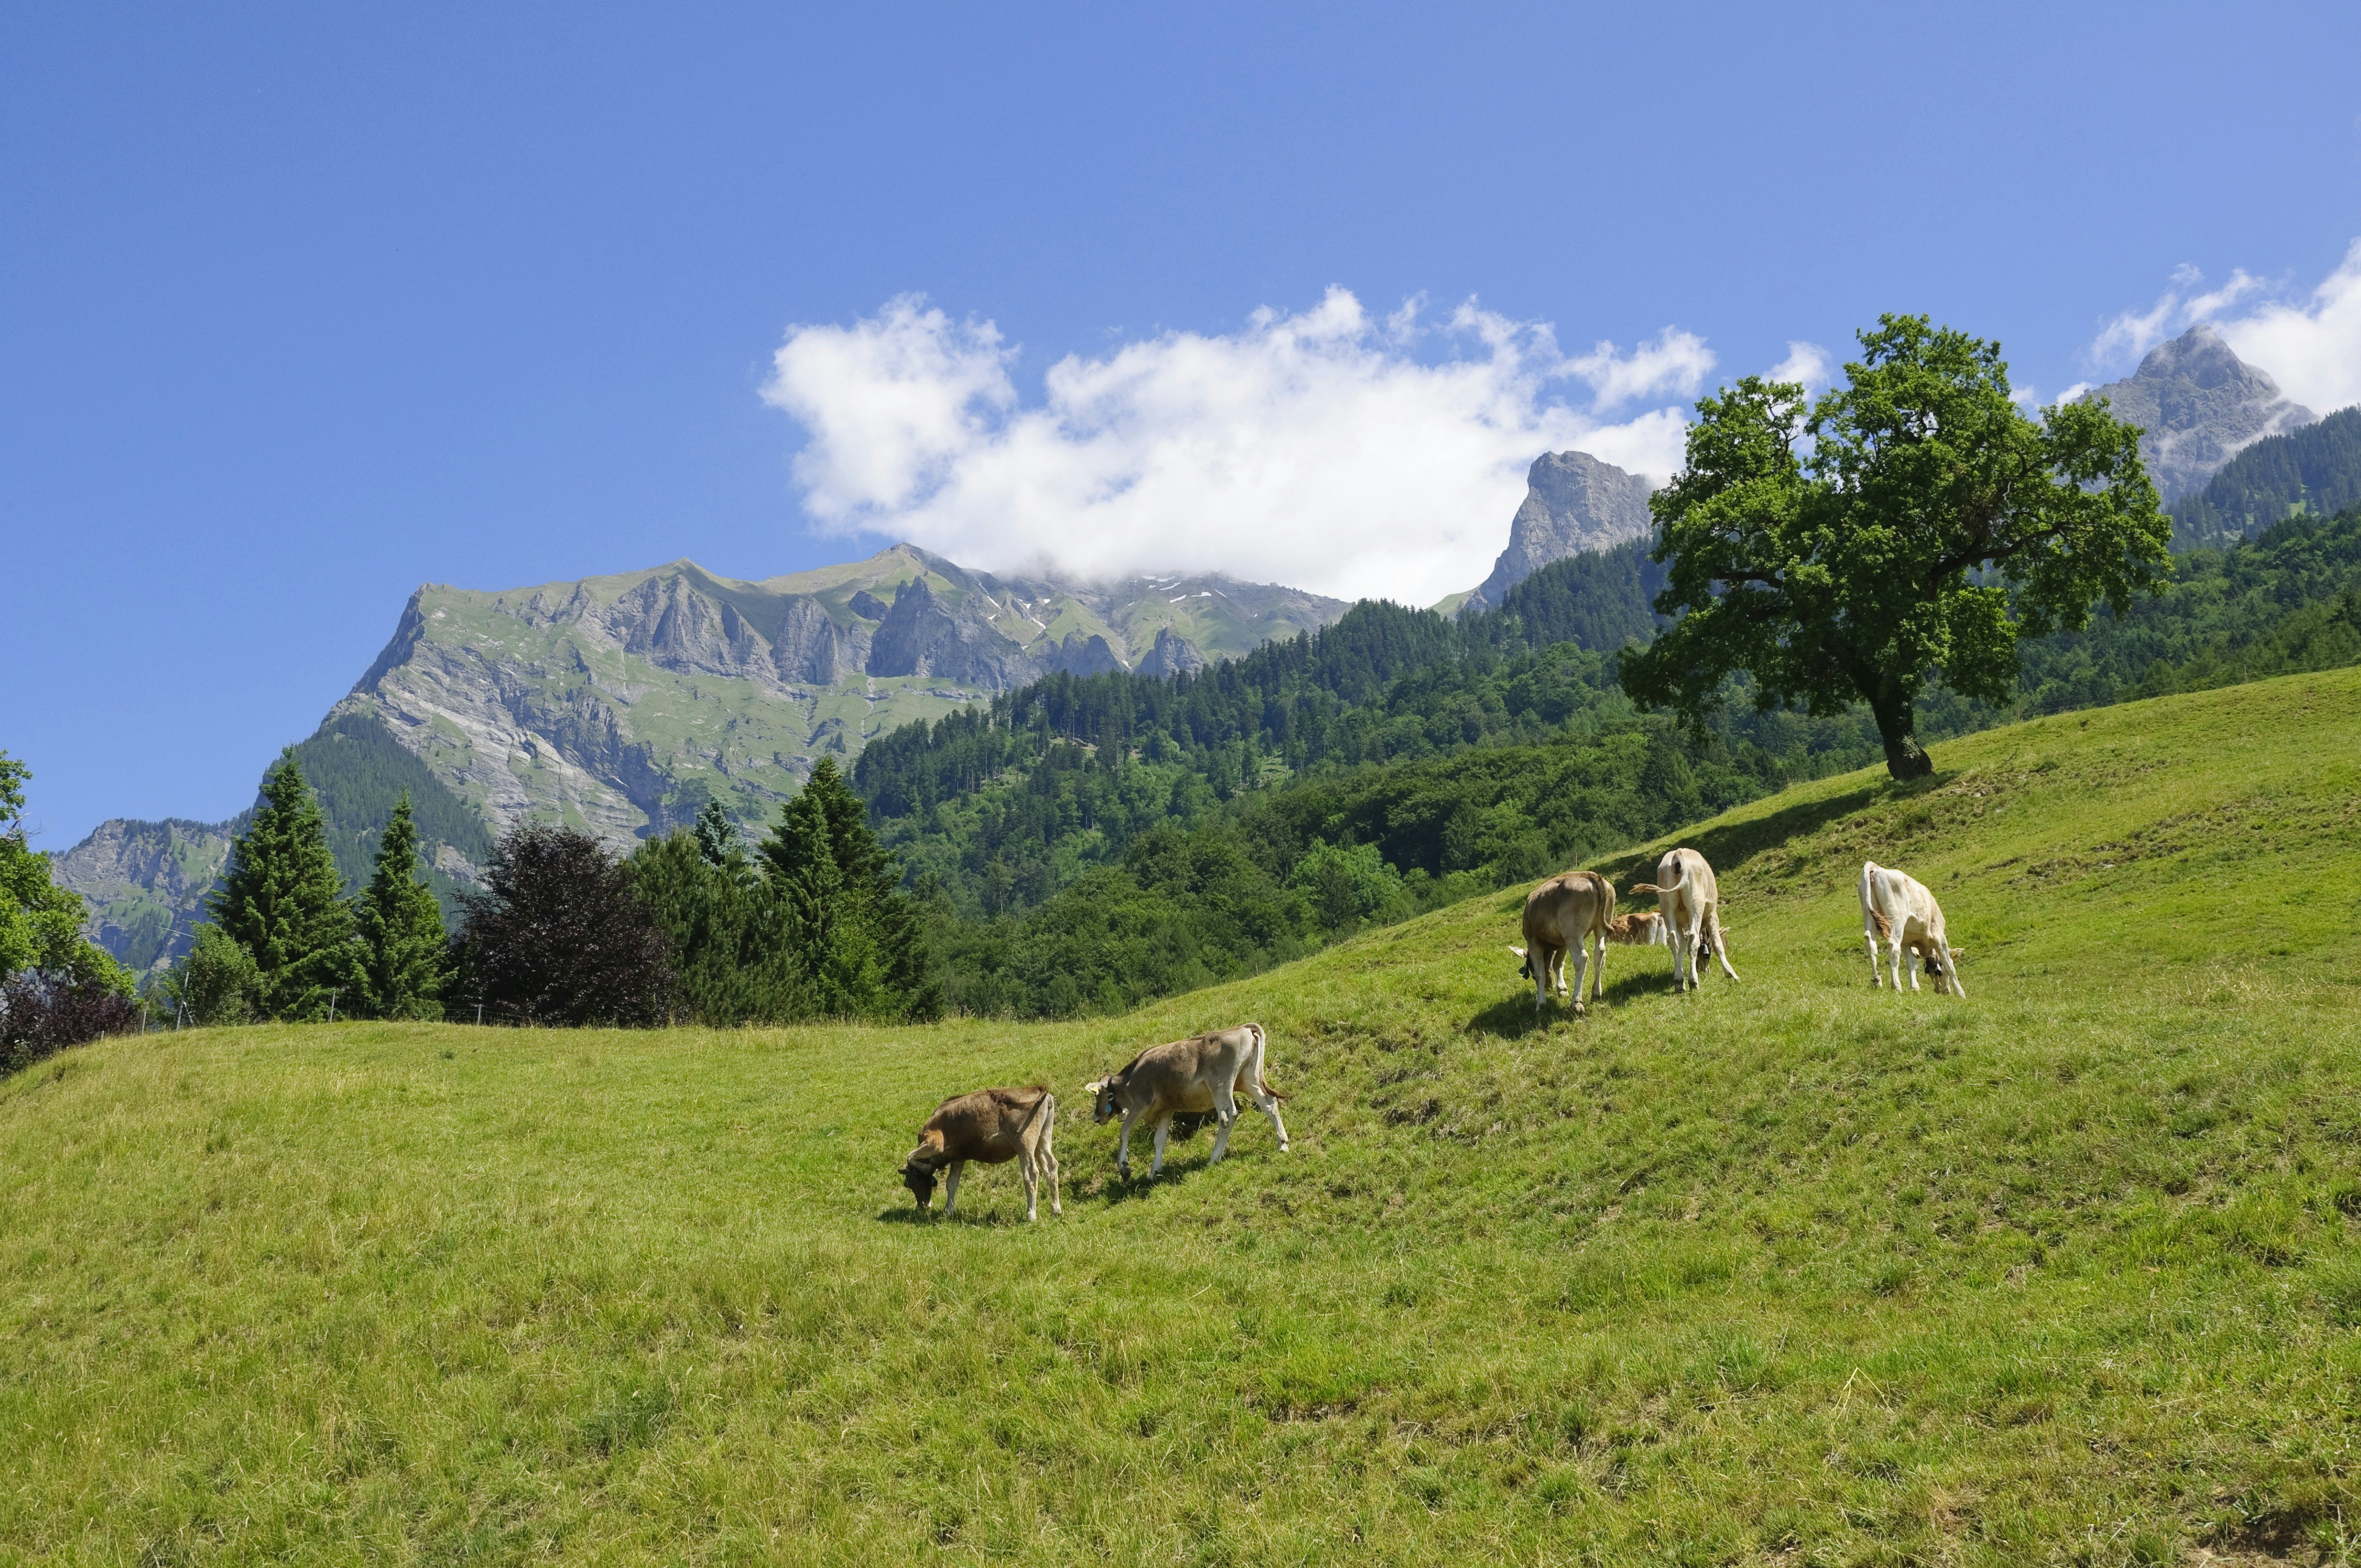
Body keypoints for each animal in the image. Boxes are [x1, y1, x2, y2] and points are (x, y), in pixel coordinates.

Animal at [898, 1085, 1062, 1221]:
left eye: (910, 1183)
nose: (923, 1206)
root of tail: (1037, 1088)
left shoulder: (935, 1142)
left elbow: (910, 1156)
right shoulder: (959, 1157)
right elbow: (952, 1183)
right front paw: (948, 1211)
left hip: (1025, 1143)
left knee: (1031, 1174)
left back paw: (1031, 1214)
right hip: (1043, 1140)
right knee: (1051, 1168)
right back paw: (1056, 1210)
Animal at [1085, 1023, 1289, 1181]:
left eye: (1097, 1096)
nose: (1095, 1118)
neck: (1129, 1079)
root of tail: (1242, 1028)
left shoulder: (1141, 1103)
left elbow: (1124, 1131)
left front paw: (1124, 1169)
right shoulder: (1166, 1110)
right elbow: (1159, 1140)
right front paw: (1154, 1172)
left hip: (1221, 1084)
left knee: (1228, 1116)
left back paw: (1213, 1159)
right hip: (1247, 1080)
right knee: (1270, 1105)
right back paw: (1283, 1144)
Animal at [1507, 869, 1615, 1013]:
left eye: (1530, 968)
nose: (1549, 986)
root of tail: (1590, 875)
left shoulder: (1533, 941)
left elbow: (1541, 972)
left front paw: (1540, 1004)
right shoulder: (1562, 943)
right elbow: (1557, 964)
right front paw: (1562, 989)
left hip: (1572, 933)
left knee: (1581, 959)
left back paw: (1577, 1002)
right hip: (1601, 926)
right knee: (1600, 954)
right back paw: (1596, 993)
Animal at [1629, 847, 1739, 992]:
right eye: (1707, 954)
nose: (1704, 970)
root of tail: (1678, 854)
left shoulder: (1681, 923)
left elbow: (1682, 946)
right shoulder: (1712, 916)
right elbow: (1718, 945)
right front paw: (1731, 974)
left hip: (1668, 909)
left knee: (1672, 940)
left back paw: (1679, 982)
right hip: (1696, 907)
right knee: (1693, 939)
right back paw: (1693, 982)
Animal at [1858, 861, 1965, 996]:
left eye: (1929, 971)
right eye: (1937, 972)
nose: (1942, 991)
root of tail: (1876, 867)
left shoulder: (1906, 941)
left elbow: (1912, 963)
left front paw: (1914, 987)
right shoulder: (1939, 937)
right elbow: (1949, 965)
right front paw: (1960, 992)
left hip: (1868, 916)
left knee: (1870, 943)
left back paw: (1876, 980)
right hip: (1896, 919)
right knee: (1893, 946)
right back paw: (1896, 986)